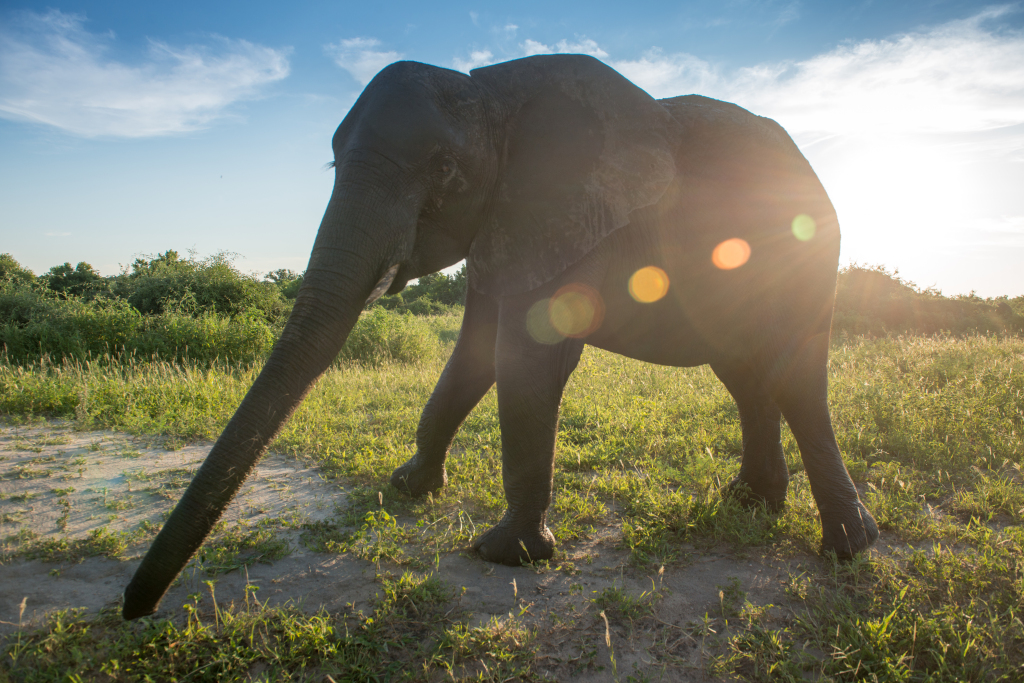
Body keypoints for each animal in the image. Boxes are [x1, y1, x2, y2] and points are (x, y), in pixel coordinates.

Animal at [121, 53, 880, 618]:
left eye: (443, 169)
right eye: (334, 165)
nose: (134, 609)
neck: (488, 94)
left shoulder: (562, 217)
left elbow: (528, 360)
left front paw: (502, 554)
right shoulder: (505, 220)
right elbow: (473, 356)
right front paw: (409, 487)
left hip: (805, 259)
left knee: (793, 377)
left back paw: (847, 547)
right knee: (748, 377)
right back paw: (749, 502)